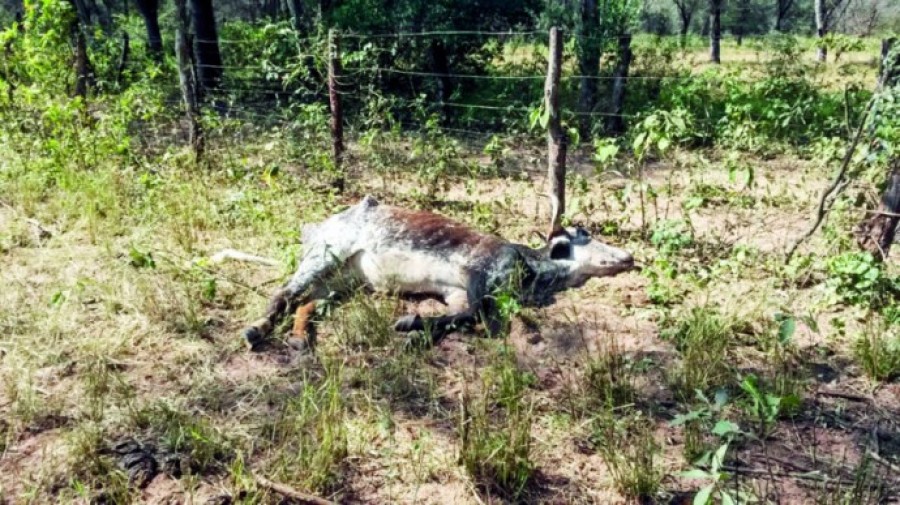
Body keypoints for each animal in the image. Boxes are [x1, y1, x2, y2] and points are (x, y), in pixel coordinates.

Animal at [241, 195, 632, 348]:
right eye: (586, 235)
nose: (628, 257)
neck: (528, 268)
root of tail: (317, 226)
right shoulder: (475, 274)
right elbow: (476, 315)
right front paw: (409, 323)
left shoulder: (456, 292)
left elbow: (463, 317)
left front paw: (416, 330)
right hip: (326, 255)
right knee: (283, 293)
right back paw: (255, 330)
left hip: (342, 281)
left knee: (305, 303)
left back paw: (299, 339)